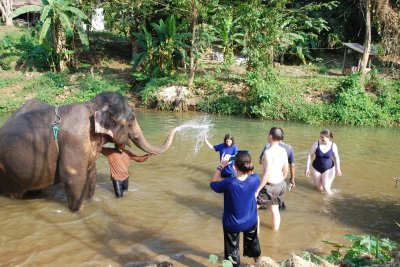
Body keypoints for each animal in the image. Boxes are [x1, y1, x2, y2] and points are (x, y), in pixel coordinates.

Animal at [0, 93, 178, 213]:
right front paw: (78, 211)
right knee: (14, 193)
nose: (176, 127)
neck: (92, 105)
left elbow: (91, 173)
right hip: (7, 170)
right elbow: (74, 176)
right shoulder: (75, 140)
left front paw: (90, 202)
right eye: (132, 119)